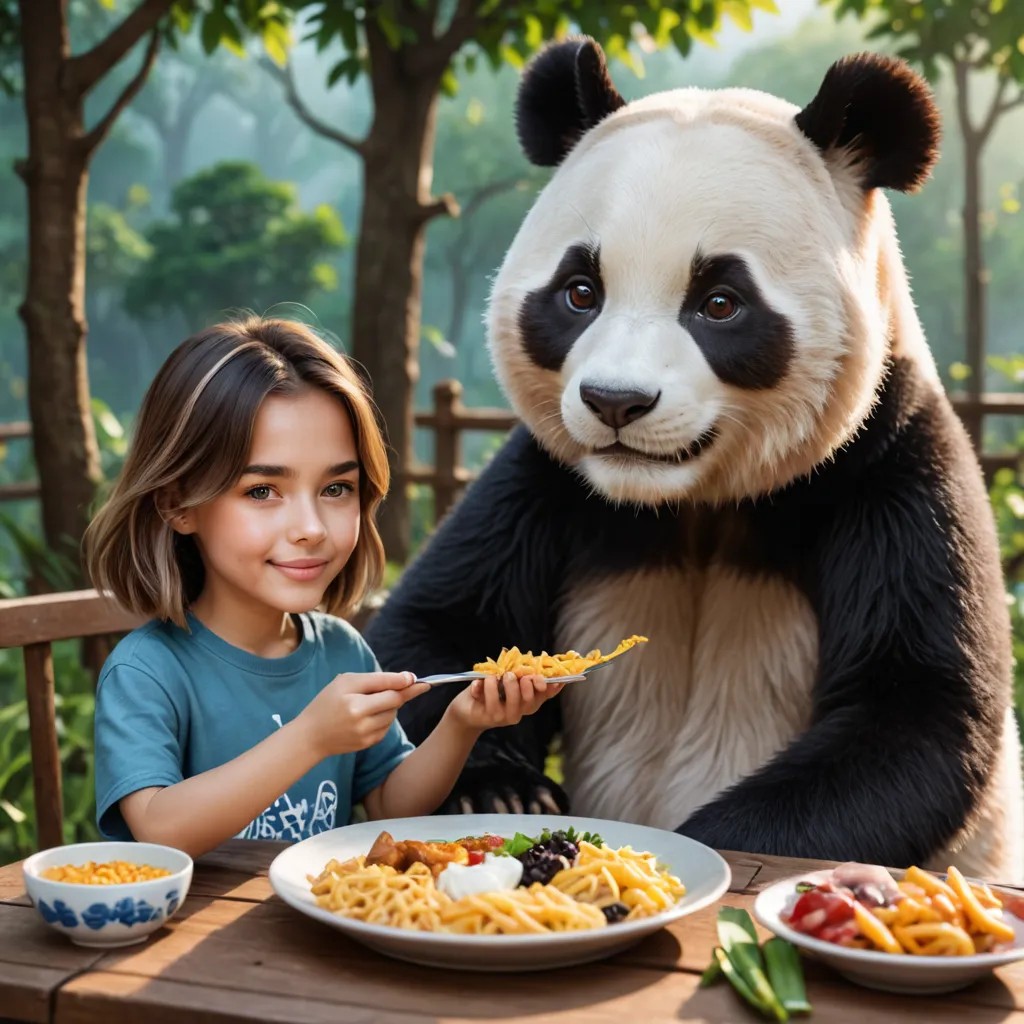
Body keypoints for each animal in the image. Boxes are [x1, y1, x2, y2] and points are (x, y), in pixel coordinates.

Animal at [365, 38, 1024, 880]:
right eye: (580, 291)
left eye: (719, 303)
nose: (616, 401)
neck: (689, 502)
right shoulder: (548, 478)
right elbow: (438, 624)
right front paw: (501, 792)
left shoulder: (888, 460)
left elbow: (916, 708)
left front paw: (709, 840)